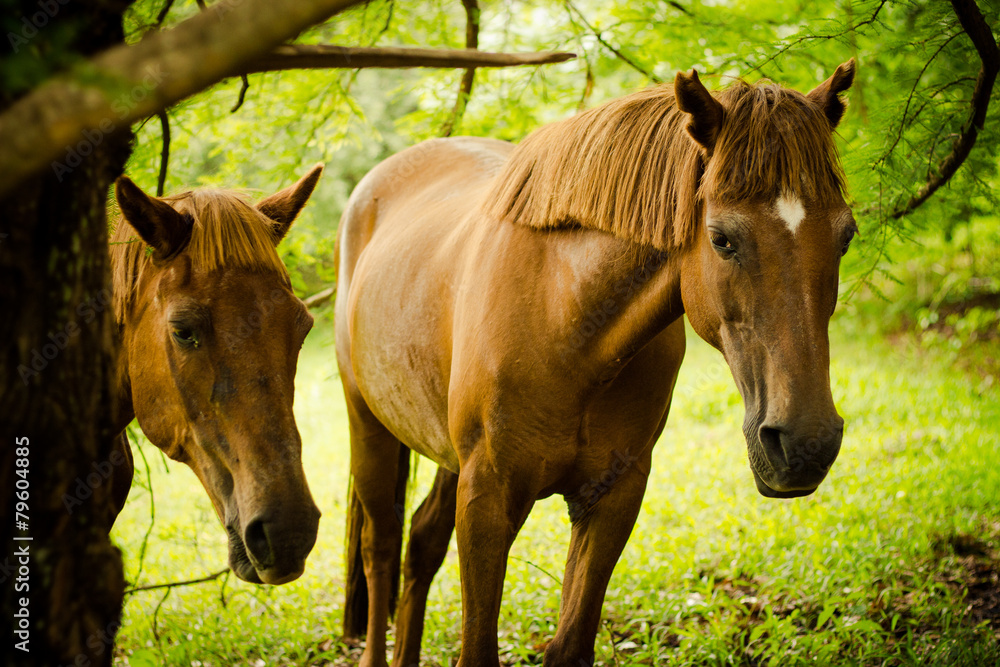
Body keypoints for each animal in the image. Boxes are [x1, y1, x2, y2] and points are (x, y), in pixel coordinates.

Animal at [334, 59, 857, 666]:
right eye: (722, 238)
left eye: (846, 236)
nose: (806, 443)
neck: (566, 321)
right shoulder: (487, 496)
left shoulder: (612, 497)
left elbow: (569, 645)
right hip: (368, 426)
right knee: (380, 544)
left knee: (419, 542)